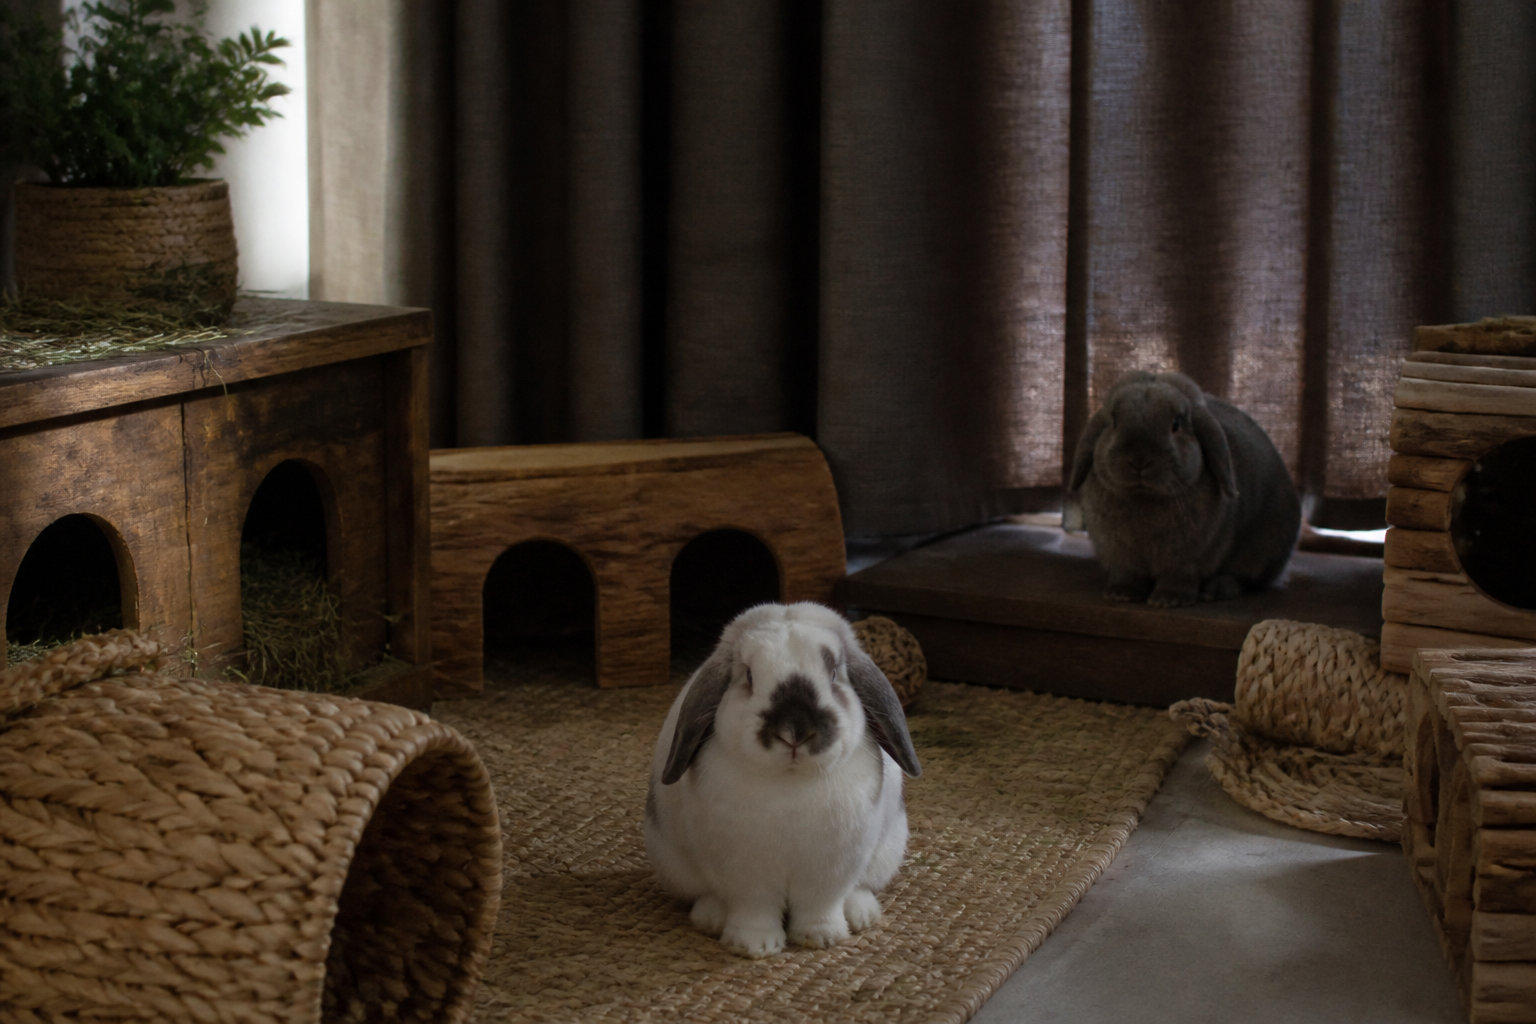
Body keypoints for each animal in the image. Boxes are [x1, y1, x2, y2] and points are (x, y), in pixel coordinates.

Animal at [644, 601, 922, 958]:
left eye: (834, 674)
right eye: (749, 676)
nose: (794, 732)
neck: (790, 782)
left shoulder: (831, 871)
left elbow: (820, 906)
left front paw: (822, 938)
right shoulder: (746, 875)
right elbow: (754, 910)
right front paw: (754, 946)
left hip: (885, 854)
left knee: (859, 889)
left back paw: (862, 914)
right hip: (675, 866)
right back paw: (711, 918)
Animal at [1067, 370, 1301, 608]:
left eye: (1176, 425)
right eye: (1114, 422)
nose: (1139, 460)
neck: (1144, 497)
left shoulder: (1187, 560)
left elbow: (1178, 578)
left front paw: (1167, 600)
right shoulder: (1121, 556)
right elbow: (1128, 575)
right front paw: (1121, 593)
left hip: (1263, 552)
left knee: (1243, 578)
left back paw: (1216, 590)